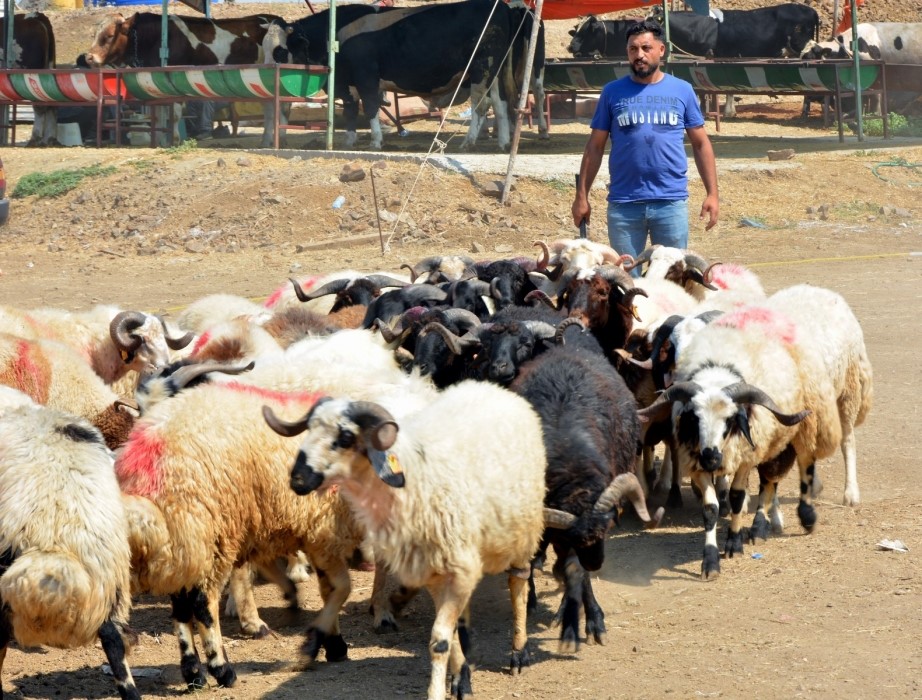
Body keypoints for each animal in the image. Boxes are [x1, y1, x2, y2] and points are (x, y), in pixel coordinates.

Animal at [82, 12, 284, 148]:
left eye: (109, 36)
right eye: (94, 34)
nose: (89, 57)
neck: (157, 38)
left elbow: (175, 113)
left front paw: (175, 140)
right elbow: (160, 114)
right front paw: (162, 141)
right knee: (269, 107)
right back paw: (267, 140)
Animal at [260, 380, 548, 700]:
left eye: (345, 436)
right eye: (309, 427)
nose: (297, 479)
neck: (409, 478)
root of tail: (492, 387)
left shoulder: (457, 568)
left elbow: (440, 641)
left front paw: (439, 691)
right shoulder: (435, 570)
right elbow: (448, 634)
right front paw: (461, 676)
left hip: (524, 530)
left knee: (518, 583)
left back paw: (519, 651)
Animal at [284, 0, 536, 150]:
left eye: (283, 48)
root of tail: (502, 6)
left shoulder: (366, 76)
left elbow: (371, 107)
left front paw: (375, 141)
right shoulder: (350, 84)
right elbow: (351, 110)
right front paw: (349, 140)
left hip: (482, 68)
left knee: (481, 105)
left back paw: (468, 141)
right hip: (495, 71)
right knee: (500, 103)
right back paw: (503, 142)